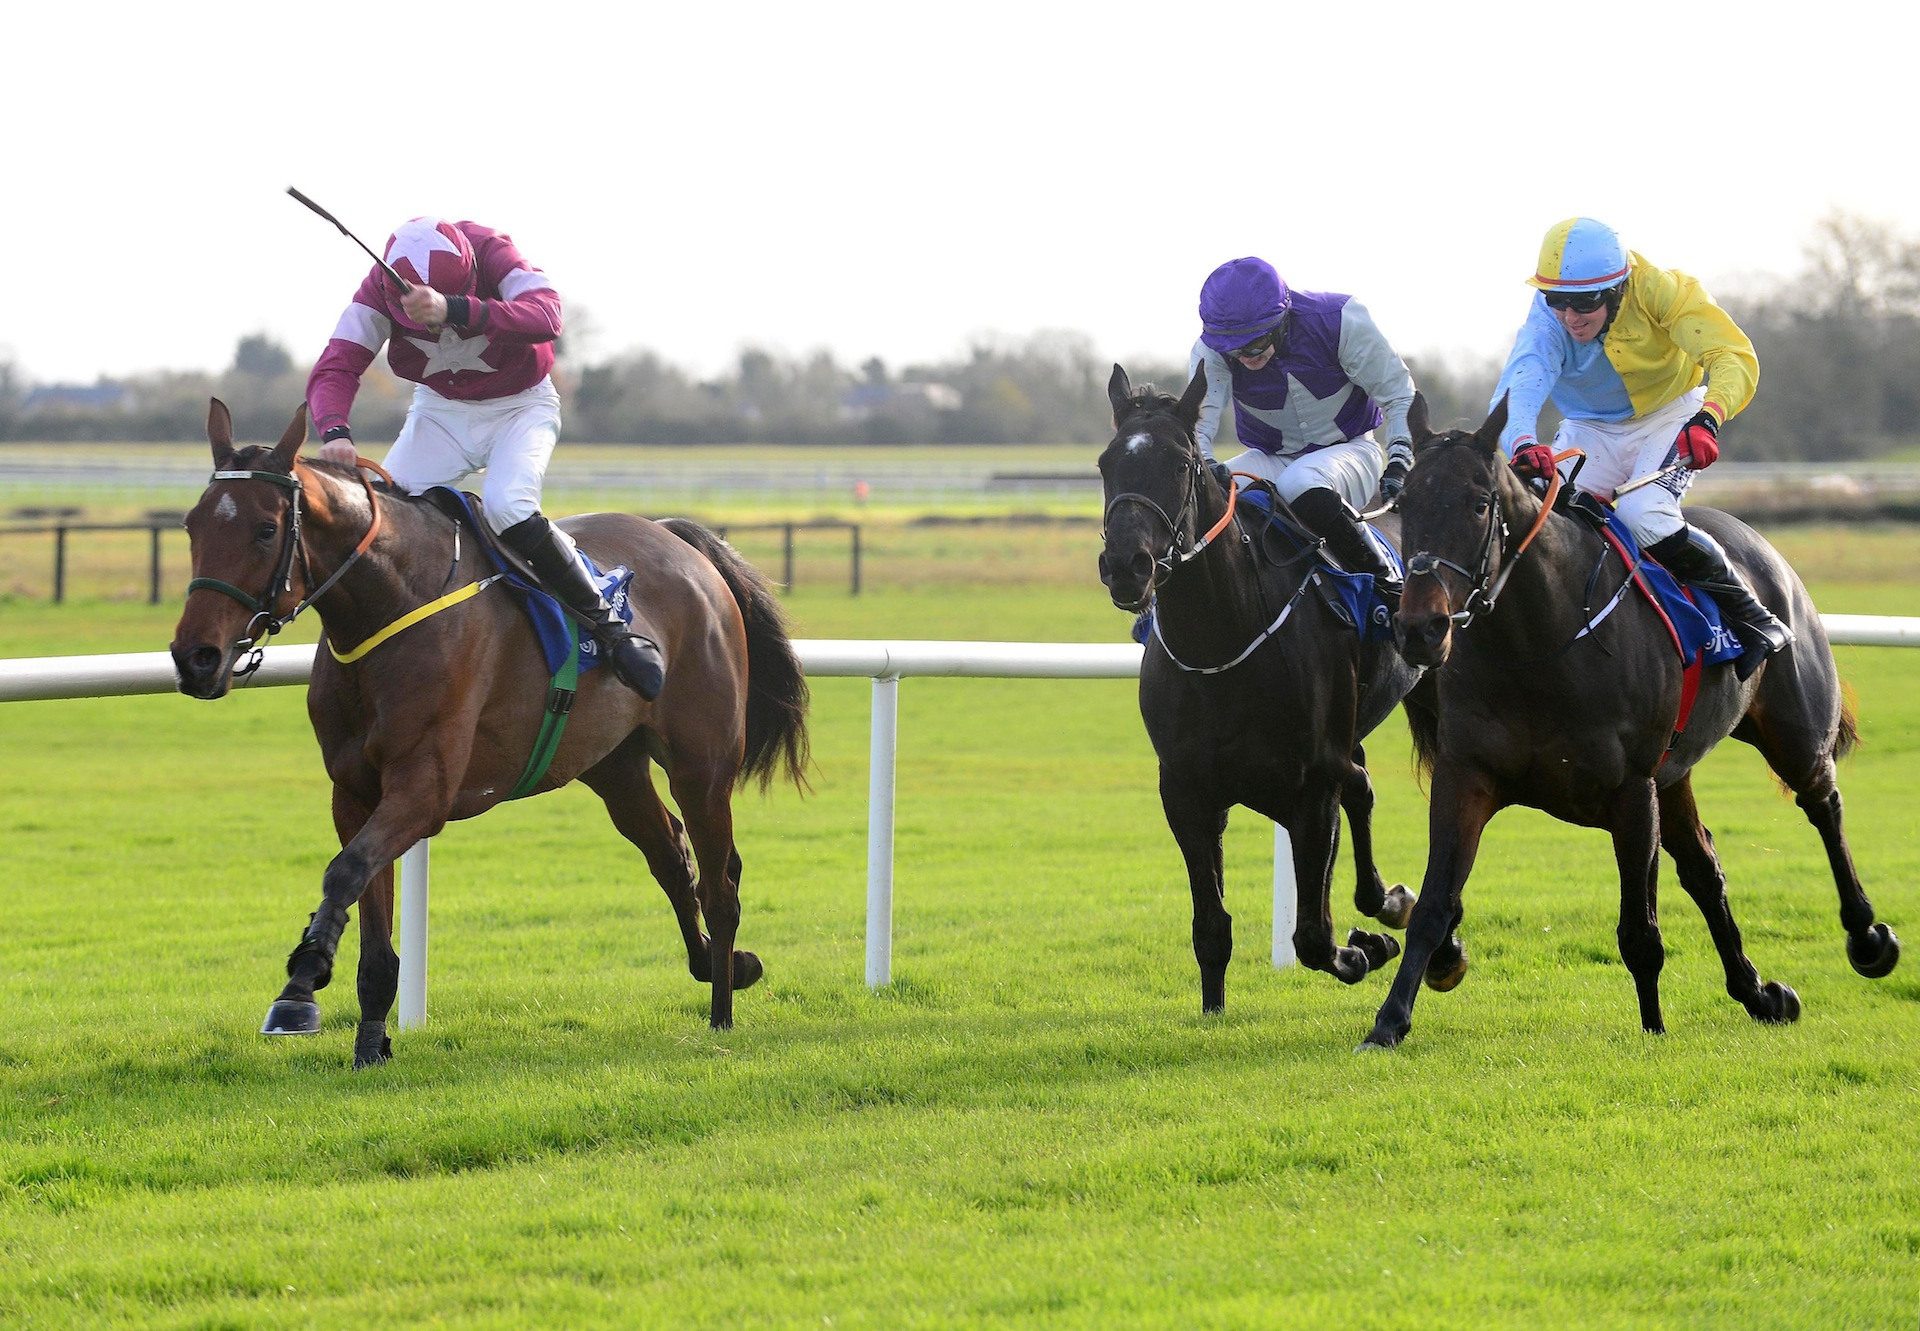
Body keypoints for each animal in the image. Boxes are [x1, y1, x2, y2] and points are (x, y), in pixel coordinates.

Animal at [168, 399, 814, 1067]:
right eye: (192, 525)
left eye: (265, 530)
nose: (196, 657)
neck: (391, 607)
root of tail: (679, 541)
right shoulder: (354, 792)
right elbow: (366, 908)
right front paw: (370, 1044)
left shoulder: (424, 789)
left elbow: (345, 871)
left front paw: (300, 984)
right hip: (613, 765)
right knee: (668, 852)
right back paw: (722, 965)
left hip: (702, 761)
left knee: (720, 881)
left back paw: (721, 1012)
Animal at [1098, 363, 1428, 1006]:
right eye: (1105, 463)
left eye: (1181, 462)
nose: (1126, 566)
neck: (1224, 640)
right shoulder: (1186, 791)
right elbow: (1211, 926)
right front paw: (1212, 1010)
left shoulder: (1310, 786)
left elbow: (1314, 937)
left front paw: (1367, 949)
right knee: (1362, 785)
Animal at [1367, 393, 1904, 1052]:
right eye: (1406, 502)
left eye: (1478, 503)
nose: (1420, 627)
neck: (1538, 642)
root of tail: (1761, 546)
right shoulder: (1465, 777)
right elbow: (1434, 905)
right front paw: (1389, 1021)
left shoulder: (1630, 790)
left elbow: (1640, 929)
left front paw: (1653, 1028)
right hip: (1675, 775)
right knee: (1704, 867)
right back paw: (1759, 993)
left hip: (1792, 736)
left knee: (1822, 803)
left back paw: (1867, 937)